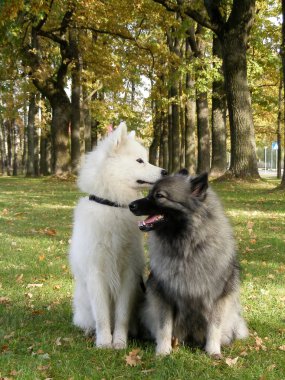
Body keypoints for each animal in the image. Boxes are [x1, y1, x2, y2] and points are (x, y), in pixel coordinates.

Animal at [69, 123, 166, 348]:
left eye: (145, 158)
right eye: (139, 161)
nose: (165, 171)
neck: (112, 204)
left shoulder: (129, 274)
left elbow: (121, 315)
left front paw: (120, 342)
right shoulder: (96, 273)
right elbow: (103, 315)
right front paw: (104, 342)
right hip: (82, 301)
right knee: (88, 318)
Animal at [129, 171, 246, 358]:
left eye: (159, 196)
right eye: (149, 193)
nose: (130, 205)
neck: (188, 246)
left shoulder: (218, 298)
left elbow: (214, 327)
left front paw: (213, 351)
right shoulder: (163, 295)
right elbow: (164, 326)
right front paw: (163, 351)